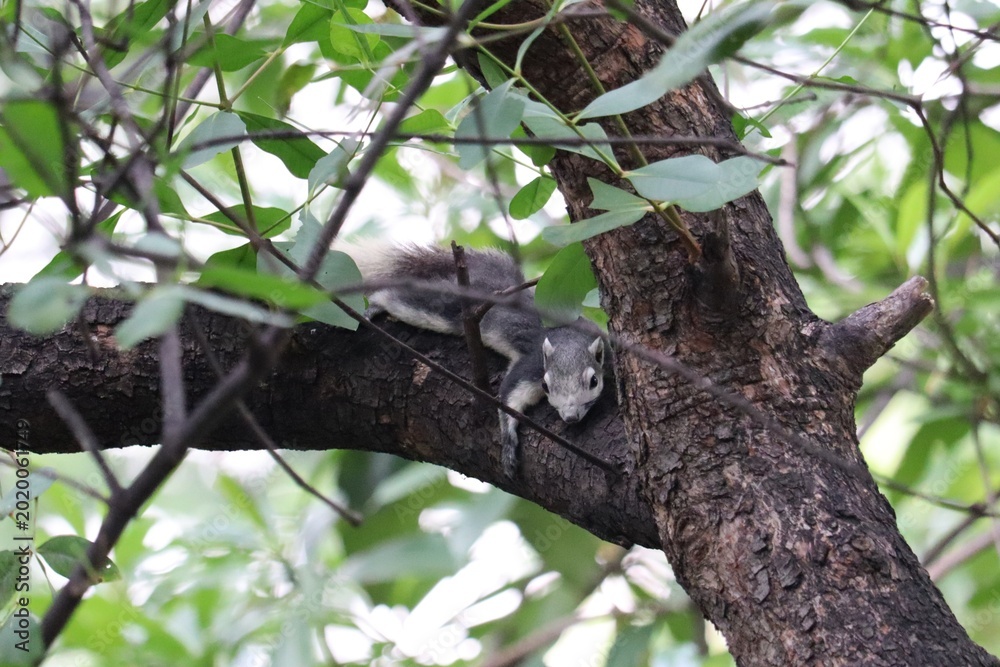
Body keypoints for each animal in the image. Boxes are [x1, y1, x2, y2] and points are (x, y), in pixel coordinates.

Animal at [345, 242, 605, 478]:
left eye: (594, 381)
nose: (570, 417)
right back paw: (374, 306)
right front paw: (508, 444)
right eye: (545, 385)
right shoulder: (531, 365)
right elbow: (509, 396)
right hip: (444, 309)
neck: (568, 336)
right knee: (400, 298)